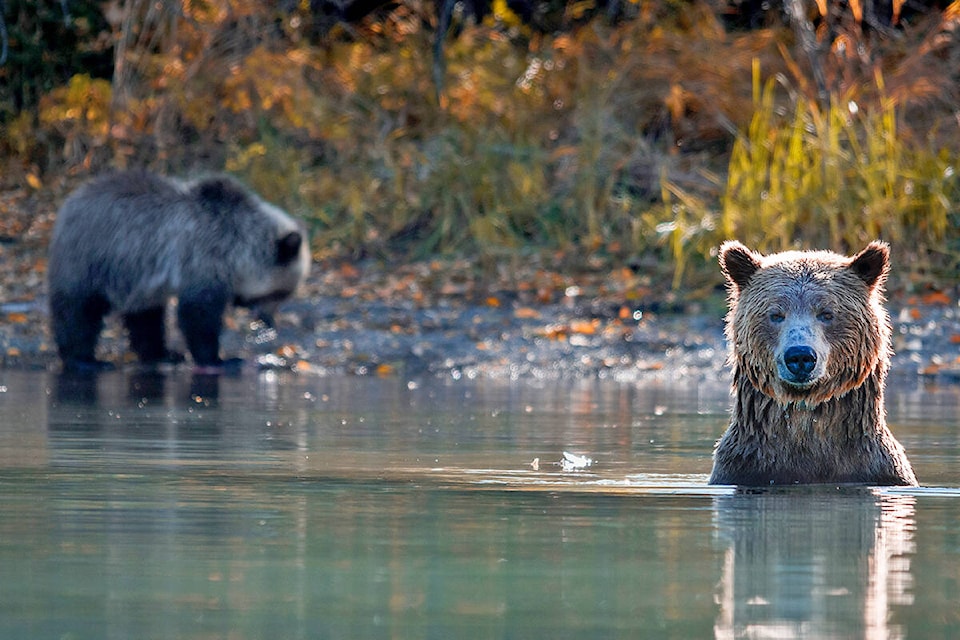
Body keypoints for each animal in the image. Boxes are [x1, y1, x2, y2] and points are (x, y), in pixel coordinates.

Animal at [48, 170, 312, 372]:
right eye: (280, 293)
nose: (269, 321)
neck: (239, 247)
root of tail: (68, 203)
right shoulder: (204, 257)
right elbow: (198, 313)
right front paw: (220, 359)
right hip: (93, 258)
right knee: (78, 310)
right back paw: (84, 359)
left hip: (137, 278)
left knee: (145, 317)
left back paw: (162, 353)